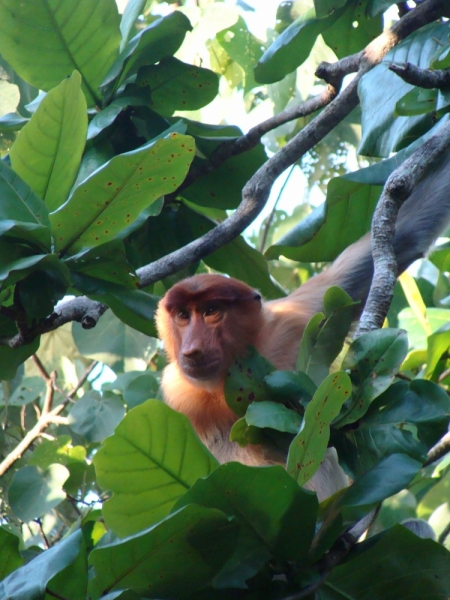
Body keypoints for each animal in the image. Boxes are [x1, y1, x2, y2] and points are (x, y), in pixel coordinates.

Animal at [156, 156, 450, 502]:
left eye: (211, 311)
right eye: (182, 315)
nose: (192, 349)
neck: (237, 364)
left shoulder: (298, 316)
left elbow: (406, 235)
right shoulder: (178, 394)